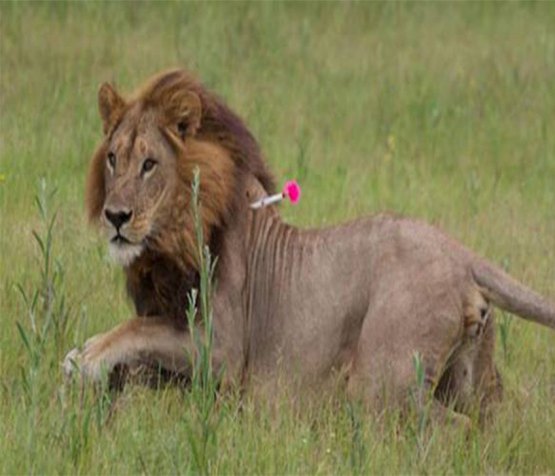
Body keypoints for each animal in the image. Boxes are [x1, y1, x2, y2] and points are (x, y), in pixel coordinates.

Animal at [63, 69, 552, 424]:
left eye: (149, 164)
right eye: (113, 159)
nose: (115, 216)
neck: (178, 230)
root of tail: (463, 254)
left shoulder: (221, 350)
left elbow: (136, 330)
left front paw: (84, 359)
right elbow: (137, 355)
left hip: (381, 384)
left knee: (452, 427)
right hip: (472, 380)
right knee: (490, 421)